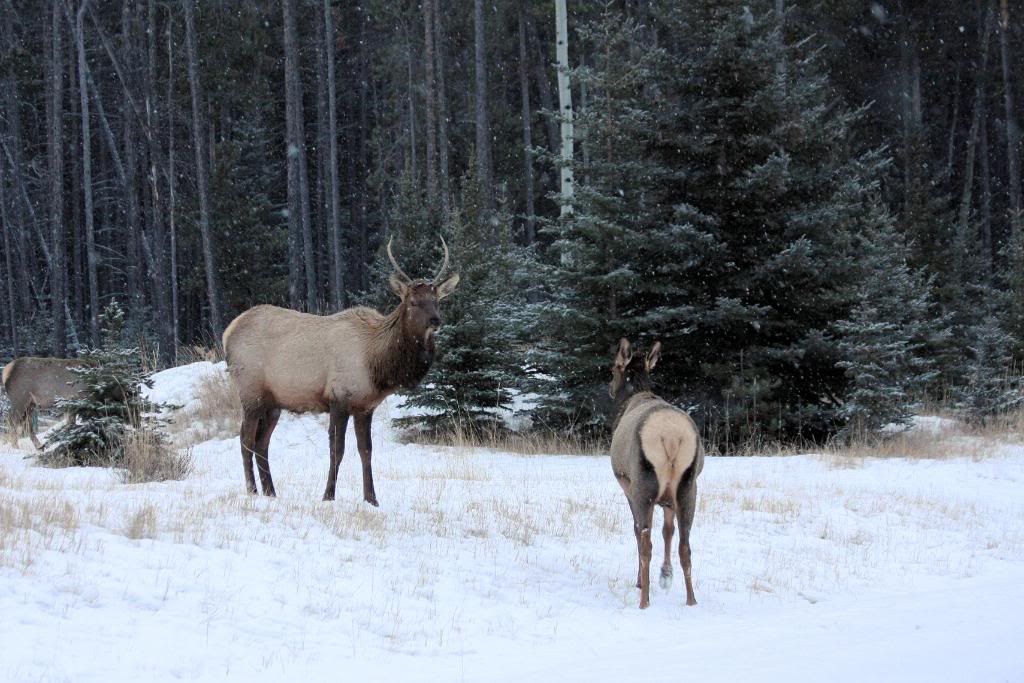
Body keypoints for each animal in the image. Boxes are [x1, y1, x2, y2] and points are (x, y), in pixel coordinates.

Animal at [226, 237, 462, 505]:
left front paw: (372, 499)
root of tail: (228, 333)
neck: (377, 364)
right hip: (250, 393)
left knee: (261, 443)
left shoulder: (365, 407)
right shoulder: (338, 398)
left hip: (273, 403)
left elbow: (366, 451)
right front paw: (328, 495)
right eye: (412, 302)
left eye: (437, 300)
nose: (435, 321)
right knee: (245, 440)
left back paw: (271, 492)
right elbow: (337, 451)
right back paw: (253, 491)